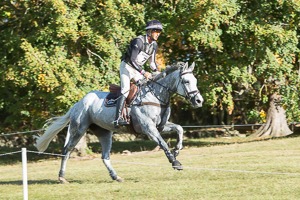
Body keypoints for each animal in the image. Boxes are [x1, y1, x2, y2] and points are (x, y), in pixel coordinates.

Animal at [35, 62, 204, 183]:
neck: (156, 95)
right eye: (186, 81)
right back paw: (61, 177)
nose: (199, 101)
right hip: (79, 129)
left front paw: (177, 150)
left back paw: (116, 177)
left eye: (195, 80)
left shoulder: (160, 126)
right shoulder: (149, 128)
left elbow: (180, 129)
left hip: (104, 133)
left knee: (105, 156)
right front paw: (175, 162)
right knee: (67, 150)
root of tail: (77, 104)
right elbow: (163, 143)